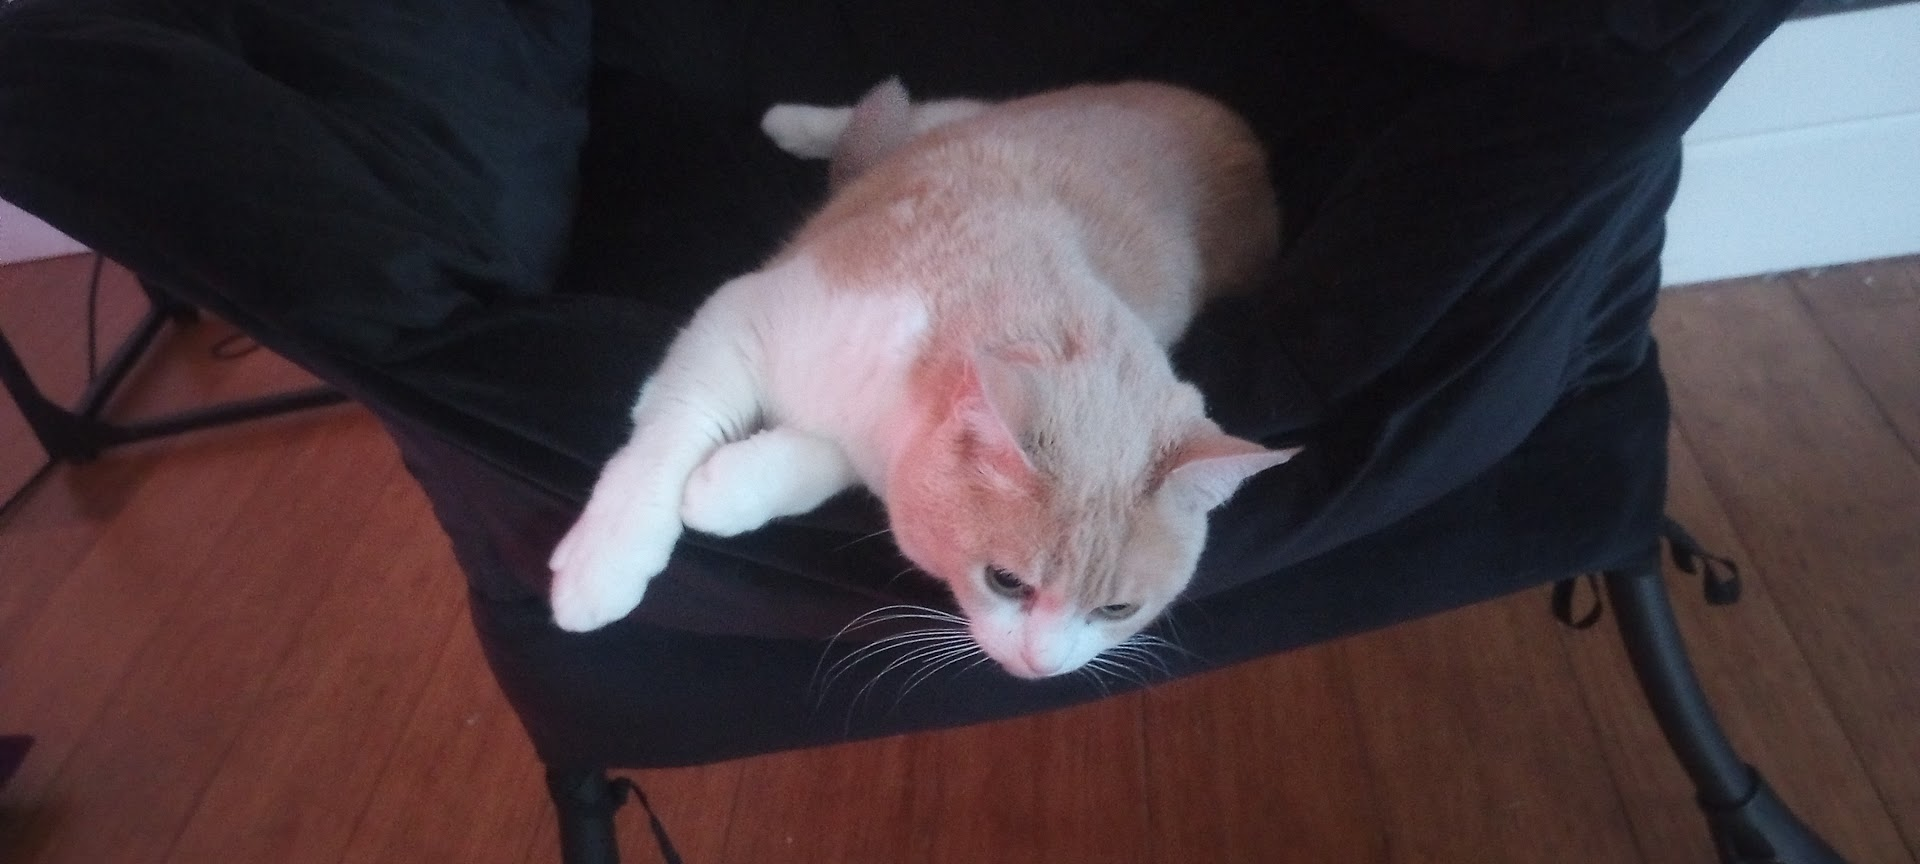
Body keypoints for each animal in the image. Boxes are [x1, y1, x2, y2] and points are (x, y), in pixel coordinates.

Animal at [549, 79, 1296, 679]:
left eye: (1116, 609)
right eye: (1005, 581)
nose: (1044, 667)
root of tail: (1244, 140)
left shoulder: (871, 443)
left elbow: (812, 463)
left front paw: (727, 488)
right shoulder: (739, 320)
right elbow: (671, 435)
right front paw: (602, 565)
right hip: (981, 116)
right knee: (919, 106)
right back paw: (796, 122)